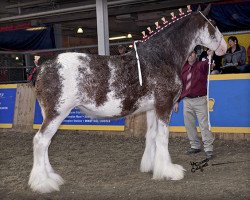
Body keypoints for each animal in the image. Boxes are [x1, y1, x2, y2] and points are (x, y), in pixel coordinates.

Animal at [28, 5, 228, 193]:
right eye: (213, 23)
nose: (224, 48)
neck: (161, 56)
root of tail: (42, 67)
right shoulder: (164, 105)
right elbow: (163, 137)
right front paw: (168, 171)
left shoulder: (152, 108)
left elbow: (151, 136)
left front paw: (152, 166)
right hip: (57, 114)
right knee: (40, 141)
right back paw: (43, 183)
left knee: (46, 144)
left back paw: (51, 177)